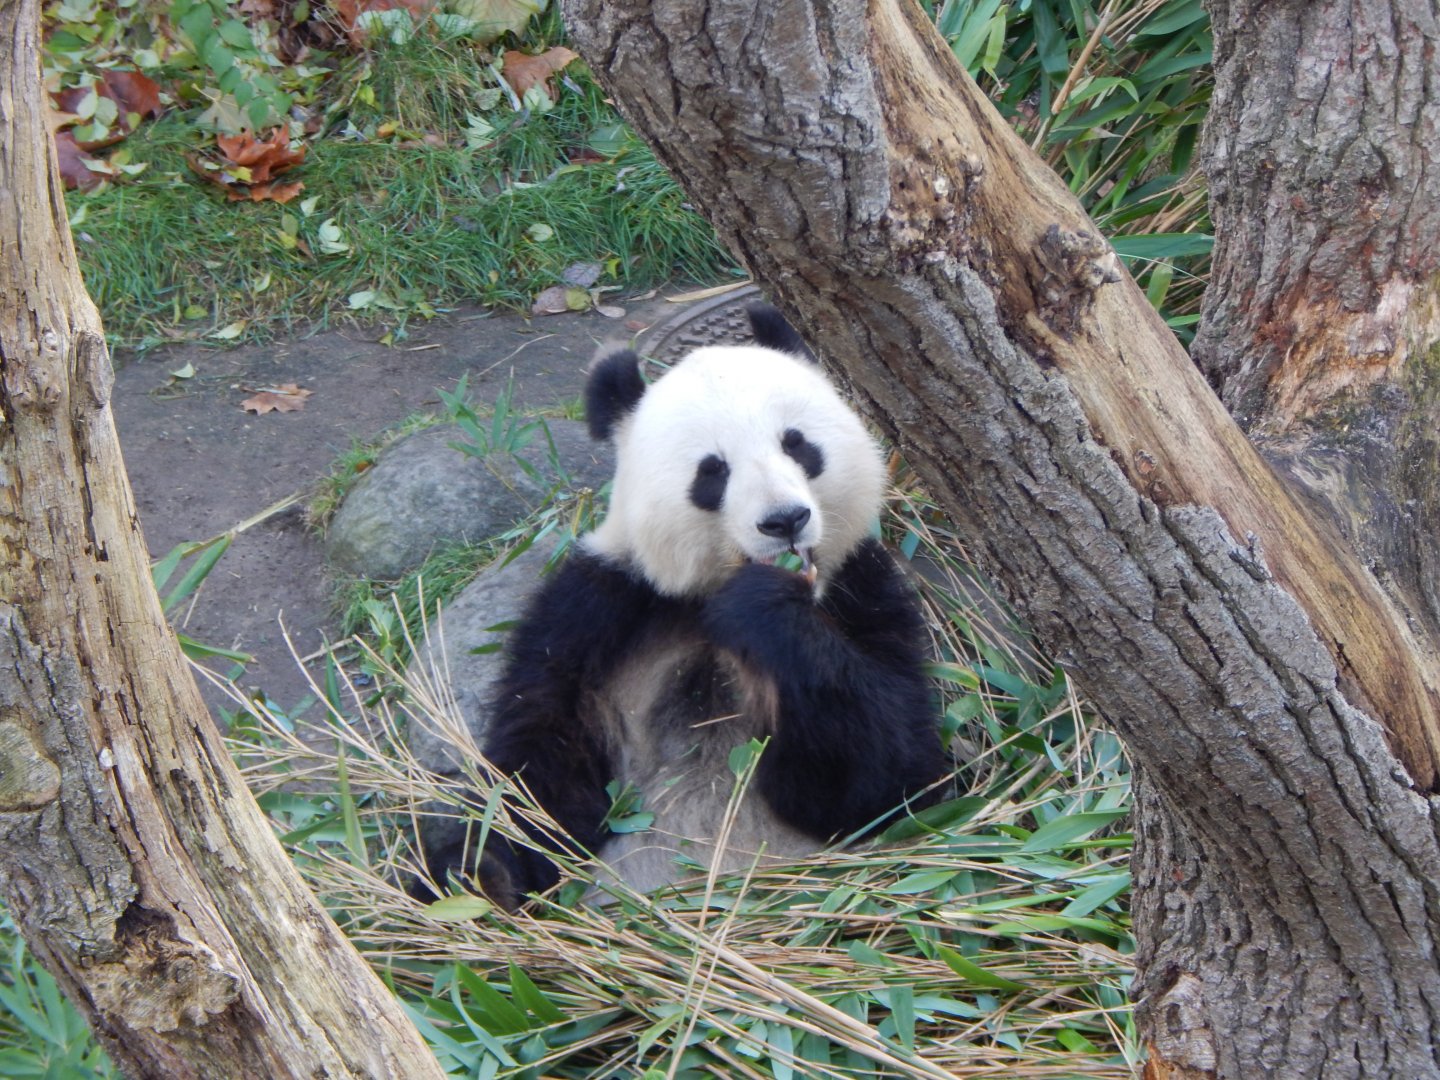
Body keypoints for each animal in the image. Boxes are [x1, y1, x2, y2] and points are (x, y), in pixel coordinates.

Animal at [425, 306, 946, 908]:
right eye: (712, 470)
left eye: (796, 444)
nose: (785, 520)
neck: (706, 591)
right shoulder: (600, 605)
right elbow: (541, 765)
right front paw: (481, 869)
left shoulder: (865, 591)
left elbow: (890, 773)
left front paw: (761, 607)